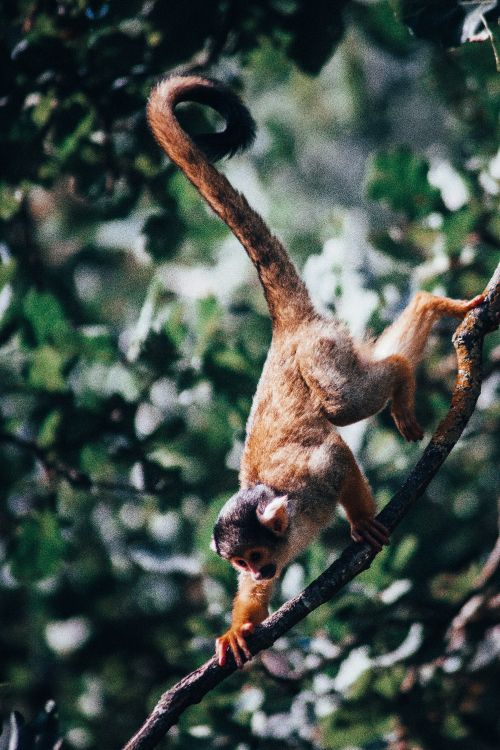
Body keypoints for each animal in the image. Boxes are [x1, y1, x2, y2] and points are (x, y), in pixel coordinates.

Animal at [147, 74, 484, 669]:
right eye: (242, 564)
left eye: (255, 552)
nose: (258, 567)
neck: (290, 526)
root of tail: (286, 329)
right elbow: (253, 600)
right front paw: (239, 626)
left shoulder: (309, 484)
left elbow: (337, 455)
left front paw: (362, 523)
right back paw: (426, 308)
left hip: (320, 351)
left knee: (343, 403)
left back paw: (402, 371)